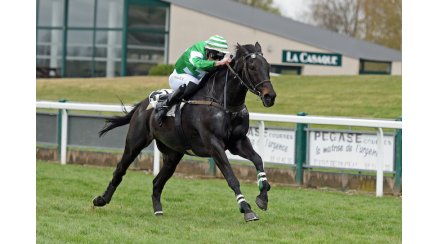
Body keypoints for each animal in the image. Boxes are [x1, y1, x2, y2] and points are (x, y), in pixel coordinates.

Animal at [93, 43, 276, 222]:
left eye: (268, 66)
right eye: (252, 67)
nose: (270, 96)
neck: (224, 104)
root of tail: (142, 105)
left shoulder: (238, 142)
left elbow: (258, 160)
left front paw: (263, 196)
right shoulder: (214, 145)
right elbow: (231, 178)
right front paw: (246, 209)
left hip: (173, 153)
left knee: (157, 182)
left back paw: (158, 210)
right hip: (135, 142)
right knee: (120, 169)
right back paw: (101, 199)